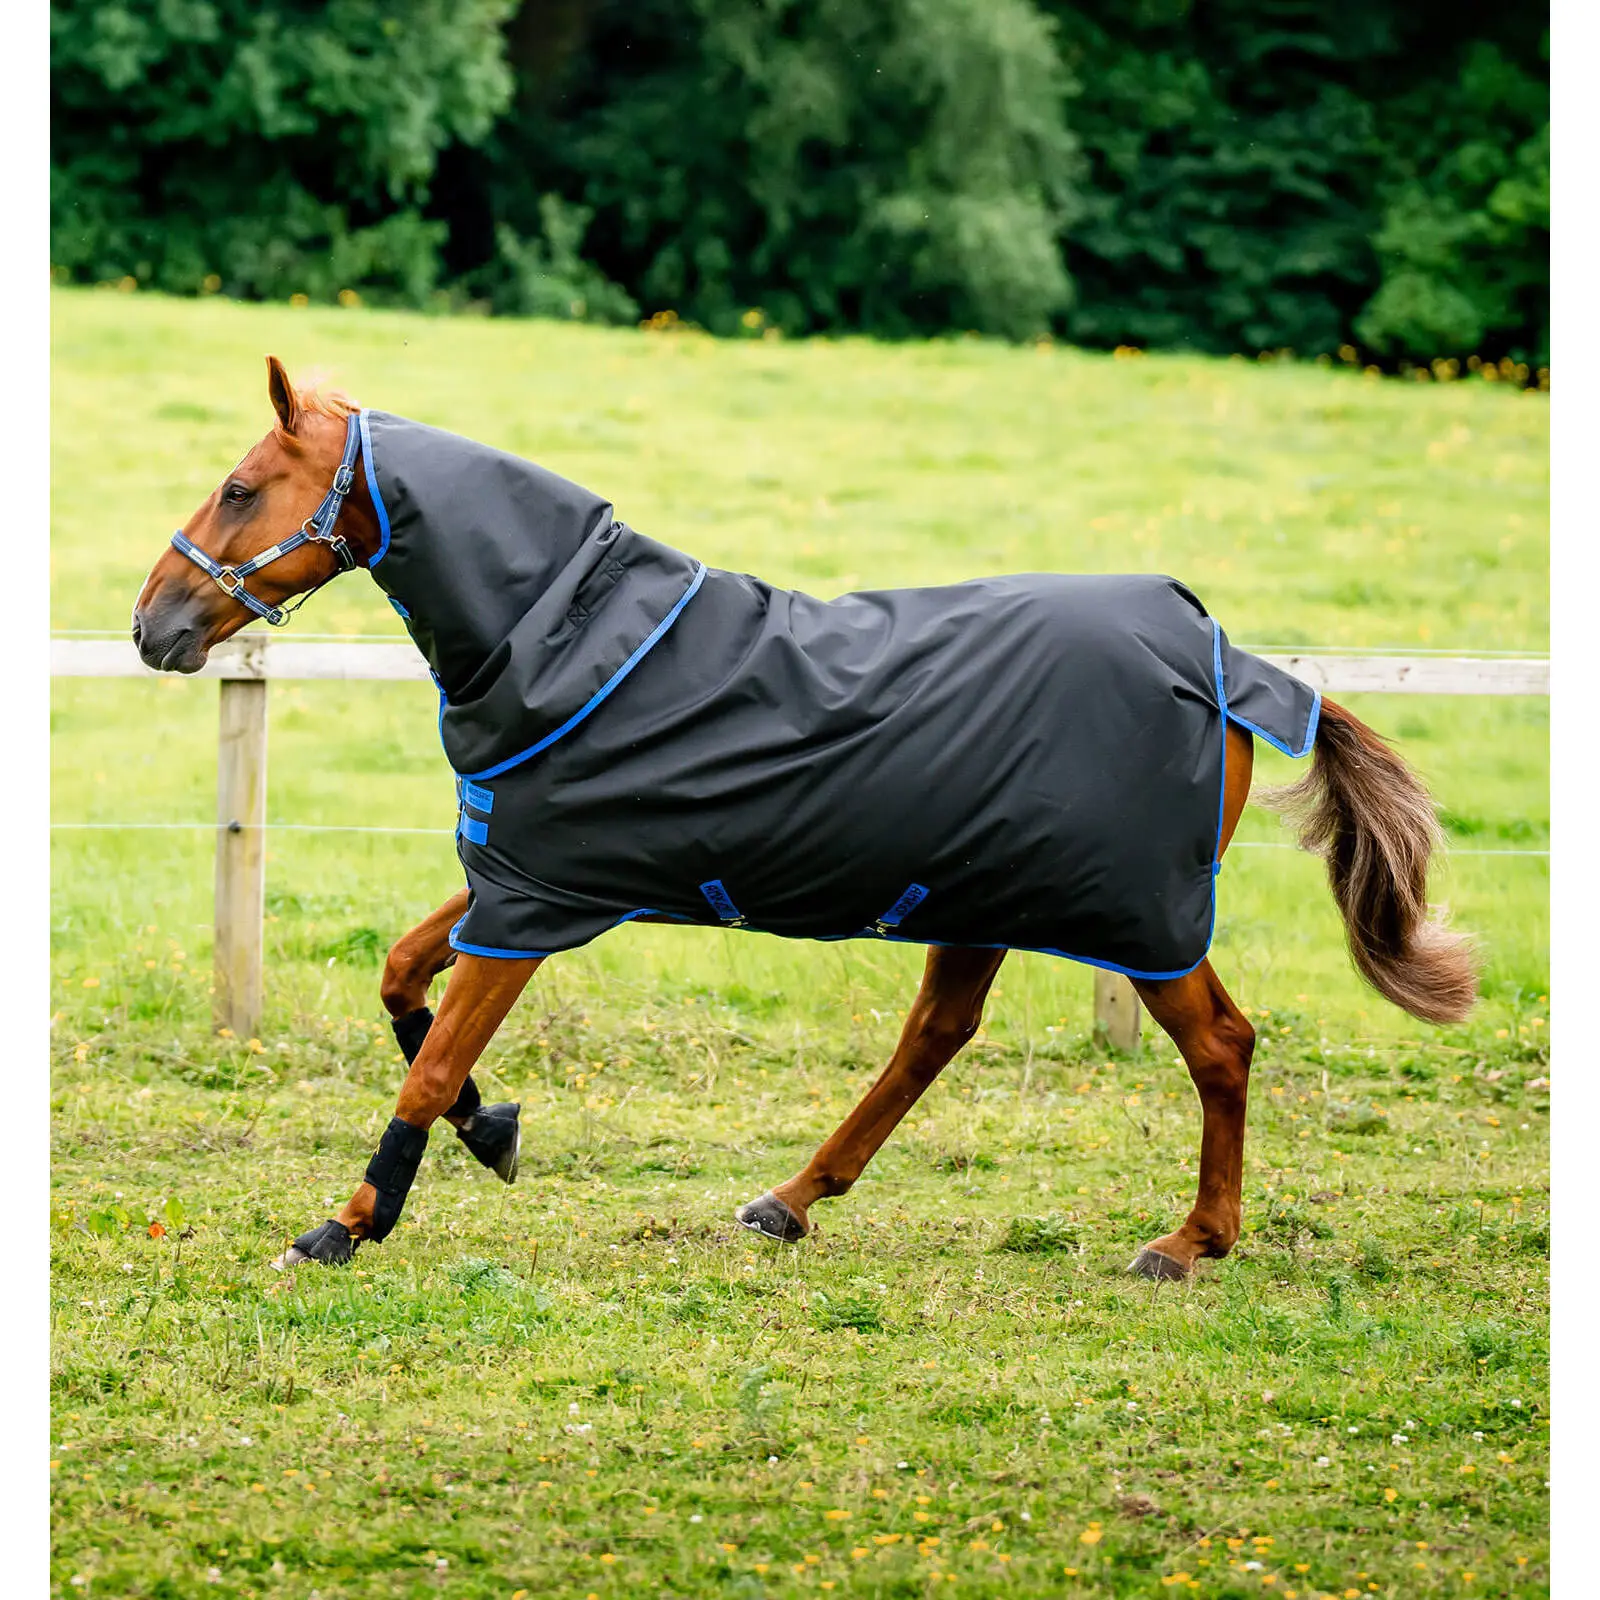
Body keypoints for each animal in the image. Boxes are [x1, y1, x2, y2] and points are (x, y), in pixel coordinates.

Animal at [132, 357, 1477, 1281]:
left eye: (242, 486)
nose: (154, 626)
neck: (570, 636)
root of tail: (1231, 662)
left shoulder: (533, 901)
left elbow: (428, 1059)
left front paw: (349, 1221)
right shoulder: (526, 871)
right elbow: (403, 981)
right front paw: (492, 1130)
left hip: (1138, 918)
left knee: (1221, 1046)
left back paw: (1190, 1239)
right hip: (979, 892)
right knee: (935, 1035)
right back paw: (790, 1197)